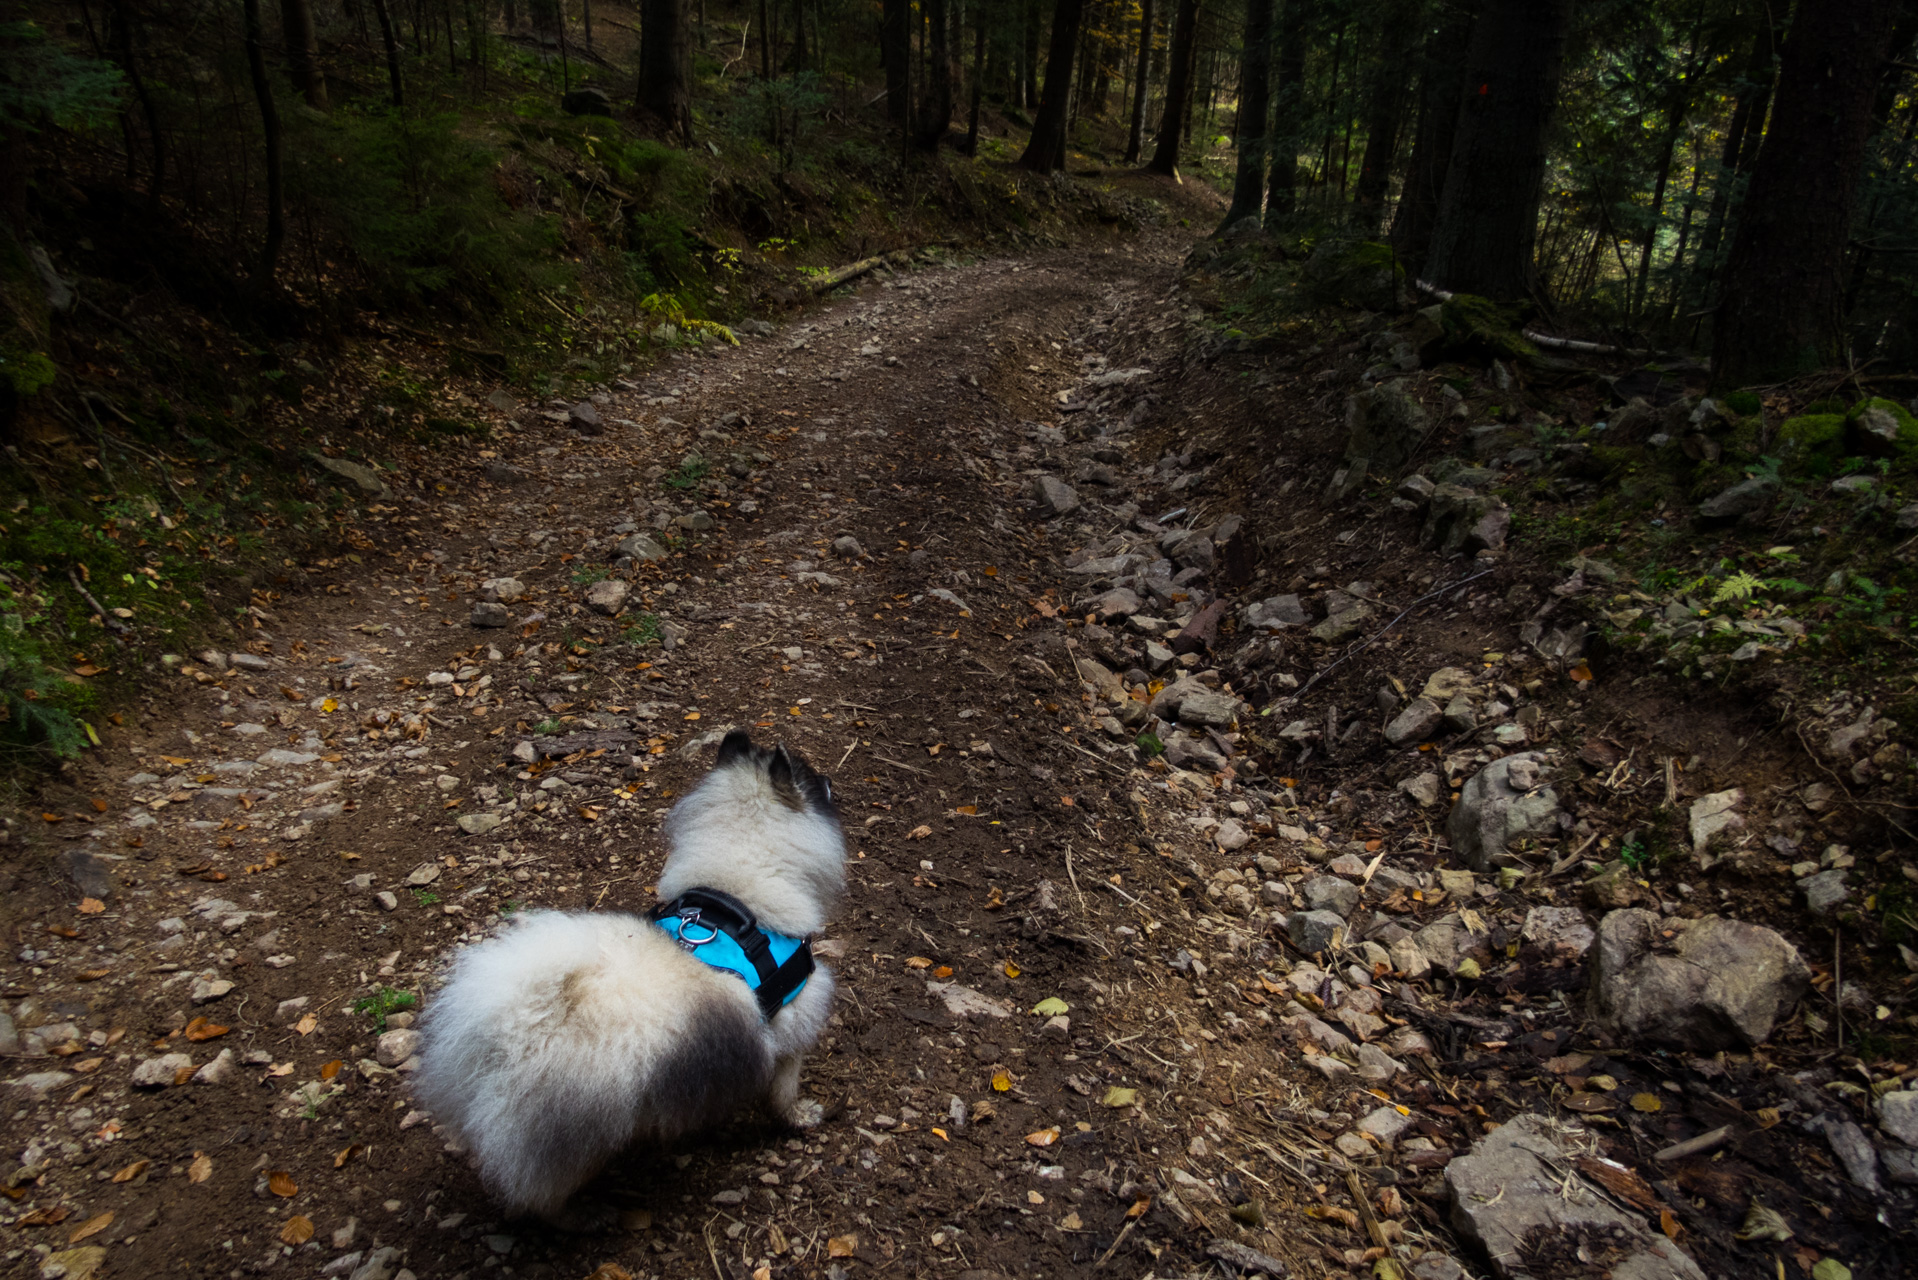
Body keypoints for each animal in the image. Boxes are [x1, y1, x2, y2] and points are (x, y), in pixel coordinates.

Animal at [412, 729, 840, 1220]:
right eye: (813, 779)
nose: (831, 779)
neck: (735, 897)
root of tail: (520, 1022)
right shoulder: (793, 1026)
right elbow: (784, 1092)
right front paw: (800, 1117)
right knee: (544, 1194)